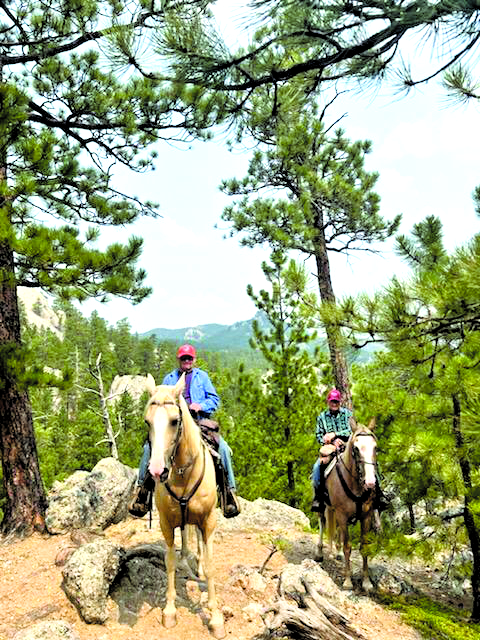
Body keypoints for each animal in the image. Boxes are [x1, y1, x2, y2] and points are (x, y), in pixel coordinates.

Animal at [144, 372, 225, 639]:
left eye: (174, 421)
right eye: (147, 422)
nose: (157, 471)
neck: (182, 472)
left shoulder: (208, 521)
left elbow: (210, 565)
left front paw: (216, 618)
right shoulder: (166, 523)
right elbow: (169, 562)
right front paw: (169, 611)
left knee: (197, 541)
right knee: (187, 537)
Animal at [317, 419, 378, 592]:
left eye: (375, 447)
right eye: (356, 449)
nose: (370, 483)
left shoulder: (366, 517)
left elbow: (364, 547)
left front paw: (366, 582)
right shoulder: (342, 516)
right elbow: (347, 547)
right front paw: (348, 581)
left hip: (333, 509)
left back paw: (334, 552)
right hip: (323, 506)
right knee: (322, 523)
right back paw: (320, 553)